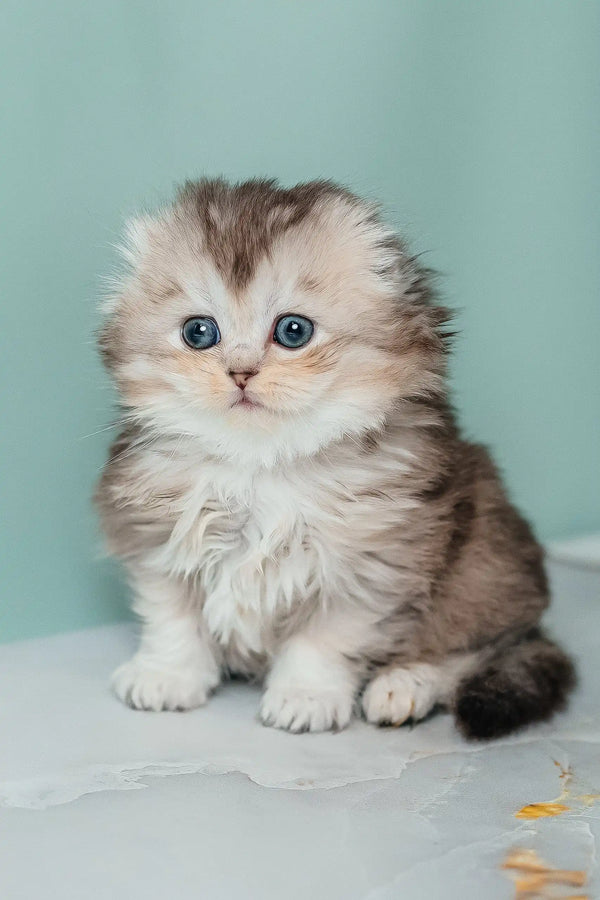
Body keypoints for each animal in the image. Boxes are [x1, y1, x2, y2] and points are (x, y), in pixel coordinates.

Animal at [96, 176, 576, 740]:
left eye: (293, 331)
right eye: (199, 332)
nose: (240, 373)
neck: (261, 467)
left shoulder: (373, 564)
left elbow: (323, 638)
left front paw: (305, 696)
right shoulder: (158, 541)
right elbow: (172, 617)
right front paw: (167, 676)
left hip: (485, 566)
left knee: (474, 647)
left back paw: (405, 685)